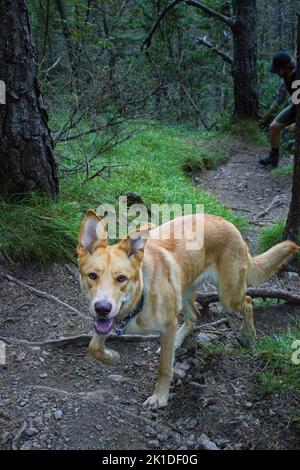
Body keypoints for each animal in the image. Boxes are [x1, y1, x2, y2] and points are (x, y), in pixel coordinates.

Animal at [77, 210, 298, 408]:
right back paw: (176, 341)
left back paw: (248, 333)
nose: (102, 308)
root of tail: (230, 224)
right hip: (184, 292)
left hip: (228, 296)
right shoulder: (107, 322)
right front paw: (110, 356)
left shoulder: (167, 324)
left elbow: (165, 368)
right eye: (92, 276)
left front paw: (160, 397)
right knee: (195, 316)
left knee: (248, 300)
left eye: (121, 278)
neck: (139, 296)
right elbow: (93, 347)